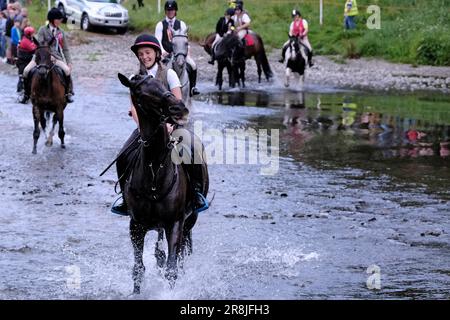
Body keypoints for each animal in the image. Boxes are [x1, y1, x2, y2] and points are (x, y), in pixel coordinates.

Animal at [115, 73, 208, 296]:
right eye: (140, 92)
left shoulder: (174, 223)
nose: (179, 109)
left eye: (161, 84)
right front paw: (136, 293)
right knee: (160, 252)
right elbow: (138, 267)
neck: (154, 169)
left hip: (190, 219)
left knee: (182, 252)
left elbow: (172, 268)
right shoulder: (136, 225)